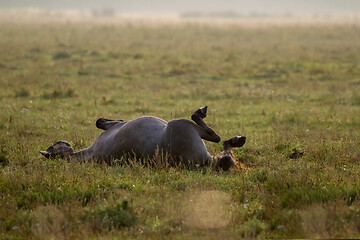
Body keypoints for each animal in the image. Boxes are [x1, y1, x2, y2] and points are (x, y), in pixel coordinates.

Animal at [40, 106, 246, 171]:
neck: (89, 154)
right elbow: (102, 122)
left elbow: (100, 121)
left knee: (225, 150)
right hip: (182, 125)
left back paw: (235, 141)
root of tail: (204, 162)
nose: (63, 142)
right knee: (215, 137)